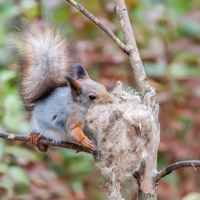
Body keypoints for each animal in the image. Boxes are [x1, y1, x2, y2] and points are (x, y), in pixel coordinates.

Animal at [16, 20, 113, 152]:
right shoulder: (72, 117)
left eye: (103, 86)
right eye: (92, 97)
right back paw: (35, 136)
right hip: (38, 125)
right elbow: (73, 131)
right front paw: (84, 141)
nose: (111, 100)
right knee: (41, 146)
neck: (78, 106)